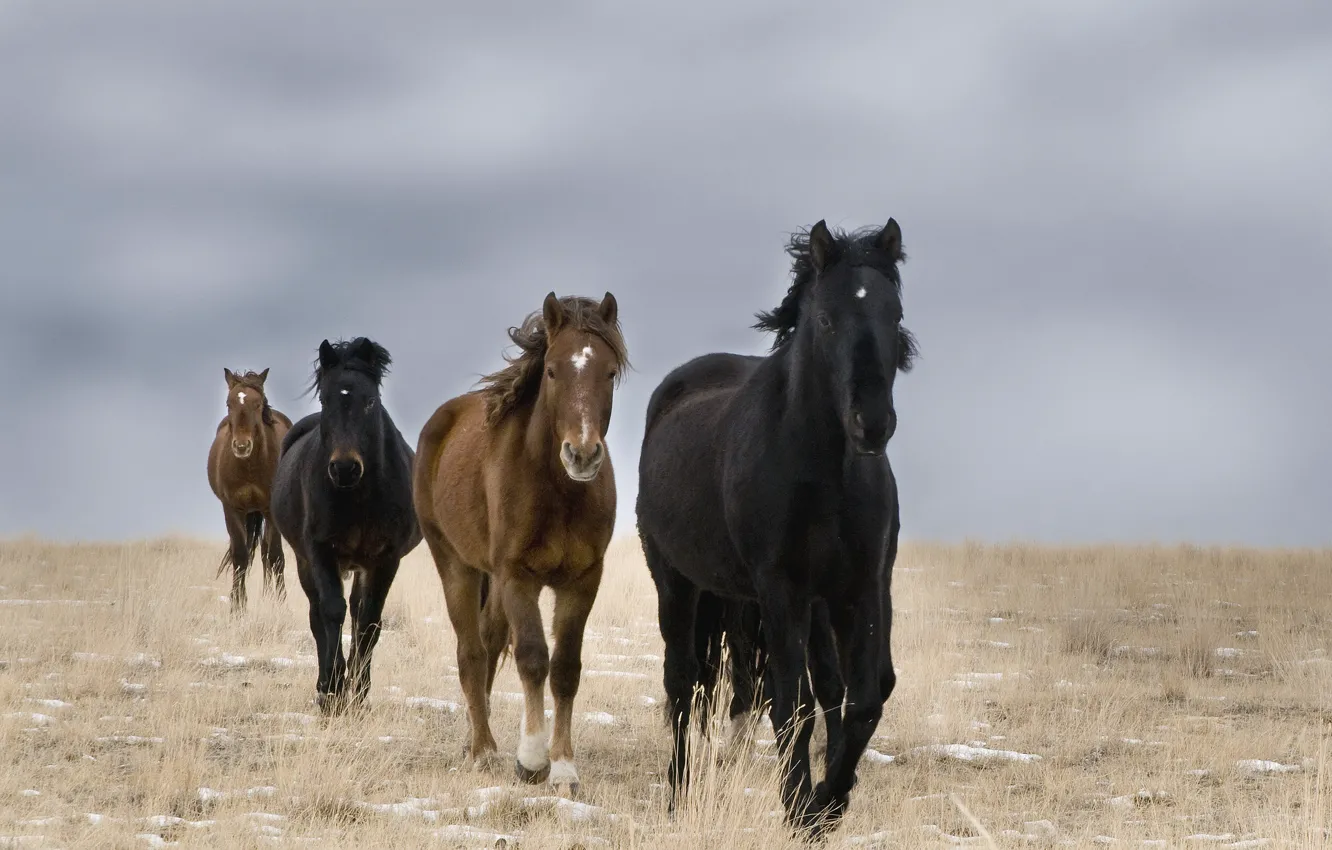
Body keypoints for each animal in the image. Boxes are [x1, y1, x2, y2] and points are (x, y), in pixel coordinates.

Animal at [206, 367, 293, 613]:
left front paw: (281, 604)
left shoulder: (270, 510)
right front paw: (237, 606)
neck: (249, 466)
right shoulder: (232, 508)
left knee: (267, 553)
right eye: (229, 403)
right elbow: (240, 556)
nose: (242, 446)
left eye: (257, 404)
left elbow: (275, 556)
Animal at [271, 338, 421, 714]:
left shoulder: (385, 558)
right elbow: (331, 613)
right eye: (326, 400)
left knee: (356, 612)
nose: (344, 468)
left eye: (370, 401)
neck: (359, 497)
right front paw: (333, 690)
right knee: (317, 616)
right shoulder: (321, 551)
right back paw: (327, 684)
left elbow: (368, 622)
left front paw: (360, 693)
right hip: (305, 561)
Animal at [413, 292, 627, 795]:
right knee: (471, 652)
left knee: (489, 643)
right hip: (455, 564)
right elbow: (533, 658)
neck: (558, 490)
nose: (582, 454)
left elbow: (566, 668)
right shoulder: (517, 577)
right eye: (551, 370)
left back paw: (477, 737)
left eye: (609, 372)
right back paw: (482, 749)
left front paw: (564, 768)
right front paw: (531, 760)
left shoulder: (583, 581)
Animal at [636, 218, 916, 837]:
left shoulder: (863, 587)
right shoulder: (781, 590)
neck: (824, 472)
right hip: (679, 585)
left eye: (894, 315)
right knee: (683, 683)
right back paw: (678, 795)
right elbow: (793, 703)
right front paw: (799, 806)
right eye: (826, 319)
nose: (872, 424)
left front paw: (828, 803)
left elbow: (865, 696)